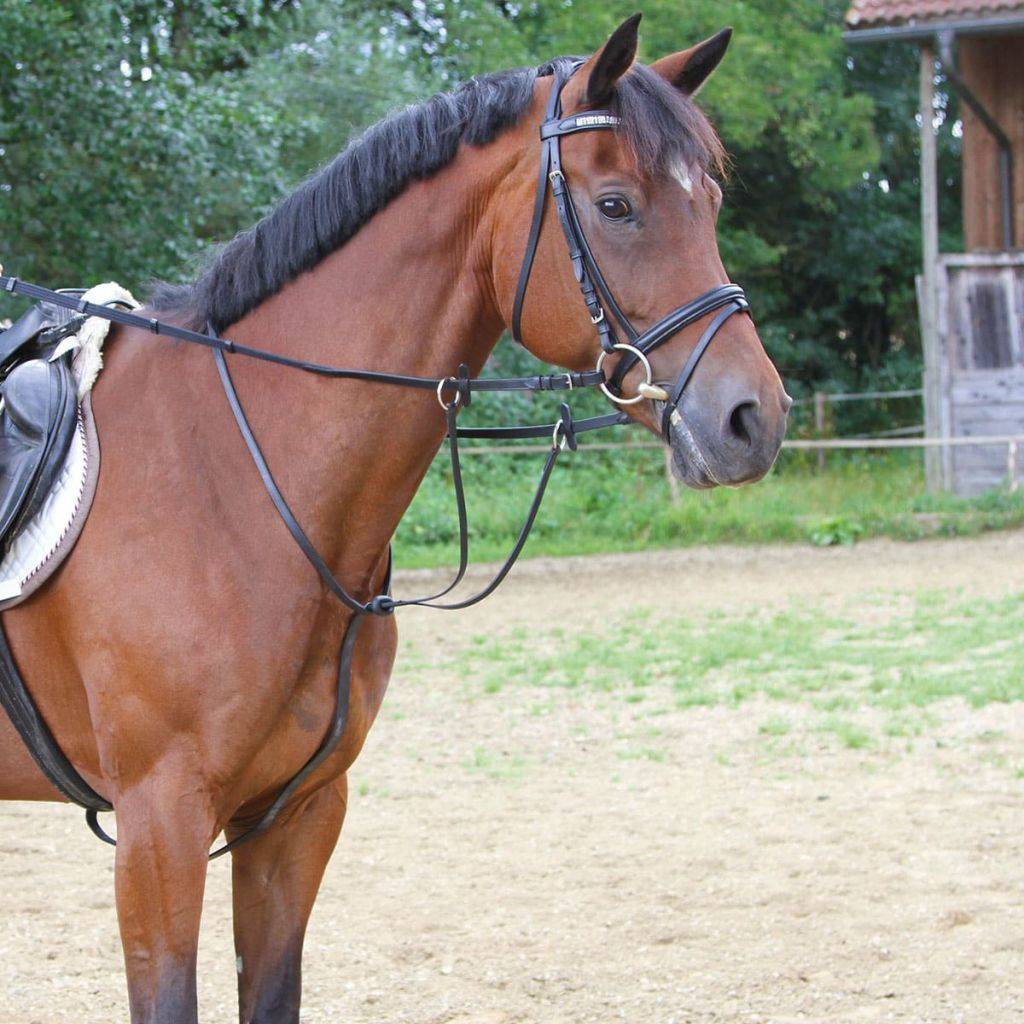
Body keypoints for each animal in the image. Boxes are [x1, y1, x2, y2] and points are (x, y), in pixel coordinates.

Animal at [0, 15, 788, 1023]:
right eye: (616, 206)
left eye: (712, 202)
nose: (753, 418)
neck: (229, 474)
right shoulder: (159, 825)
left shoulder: (296, 816)